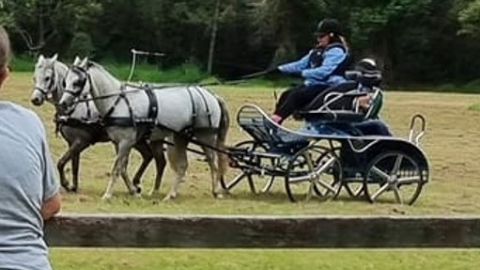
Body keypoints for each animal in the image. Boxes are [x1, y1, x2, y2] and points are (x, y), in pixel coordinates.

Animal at [31, 54, 167, 193]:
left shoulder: (82, 141)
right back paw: (137, 184)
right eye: (35, 77)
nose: (35, 99)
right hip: (141, 140)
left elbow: (61, 163)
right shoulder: (72, 142)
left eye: (47, 78)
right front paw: (74, 186)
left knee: (157, 160)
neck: (75, 108)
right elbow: (75, 165)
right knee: (150, 157)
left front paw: (67, 184)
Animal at [58, 57, 231, 200]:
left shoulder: (126, 141)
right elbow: (122, 168)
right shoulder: (118, 142)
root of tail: (212, 95)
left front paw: (108, 194)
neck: (118, 102)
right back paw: (171, 194)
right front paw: (134, 191)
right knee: (182, 165)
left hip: (206, 136)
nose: (63, 103)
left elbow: (116, 168)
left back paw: (216, 191)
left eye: (78, 81)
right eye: (65, 81)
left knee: (212, 161)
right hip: (181, 137)